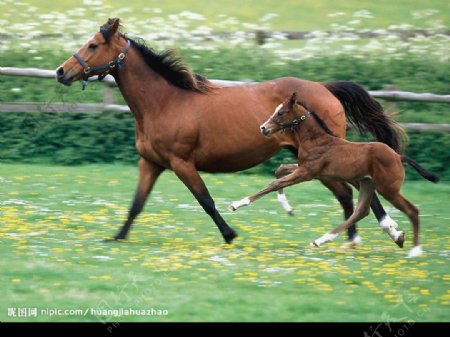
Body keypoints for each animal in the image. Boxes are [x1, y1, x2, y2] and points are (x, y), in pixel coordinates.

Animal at [56, 18, 404, 244]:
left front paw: (230, 234)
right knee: (347, 193)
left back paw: (387, 231)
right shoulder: (151, 163)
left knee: (356, 191)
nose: (61, 72)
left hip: (326, 157)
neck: (164, 102)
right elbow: (136, 204)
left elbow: (206, 201)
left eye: (93, 45)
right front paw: (116, 237)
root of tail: (325, 88)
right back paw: (353, 238)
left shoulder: (182, 163)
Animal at [232, 93, 440, 256]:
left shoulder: (307, 173)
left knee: (412, 210)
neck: (317, 139)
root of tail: (398, 156)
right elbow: (280, 170)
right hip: (367, 183)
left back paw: (415, 251)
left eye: (280, 113)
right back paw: (321, 240)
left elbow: (275, 182)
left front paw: (237, 204)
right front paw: (287, 207)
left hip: (388, 189)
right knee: (361, 211)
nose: (263, 128)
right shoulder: (308, 170)